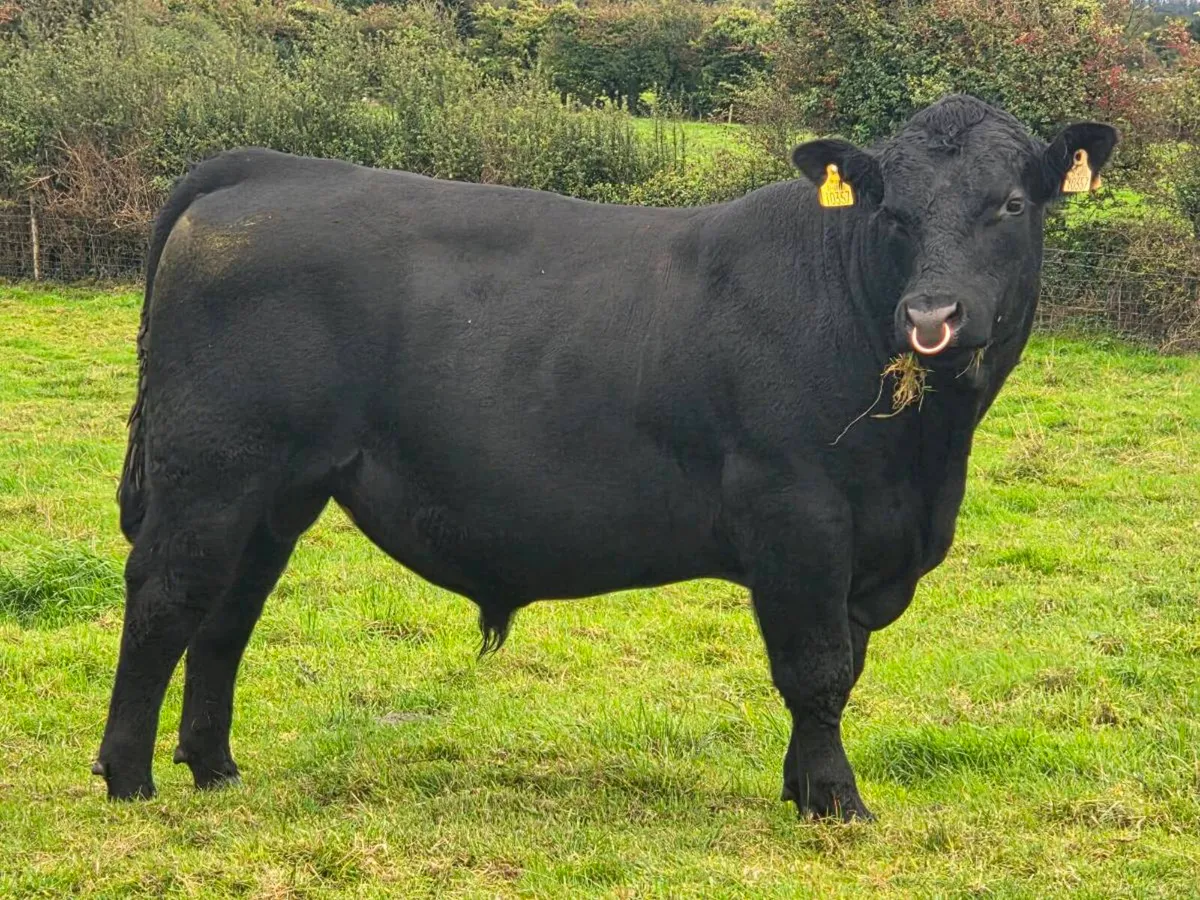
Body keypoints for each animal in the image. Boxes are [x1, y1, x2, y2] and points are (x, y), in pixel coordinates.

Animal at [93, 95, 1116, 819]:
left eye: (1011, 203)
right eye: (893, 212)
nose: (932, 316)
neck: (923, 461)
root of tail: (264, 169)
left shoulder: (865, 540)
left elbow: (839, 667)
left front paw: (801, 789)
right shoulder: (799, 511)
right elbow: (816, 667)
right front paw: (836, 801)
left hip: (278, 491)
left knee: (227, 614)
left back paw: (215, 767)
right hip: (211, 470)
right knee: (167, 597)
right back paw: (128, 777)